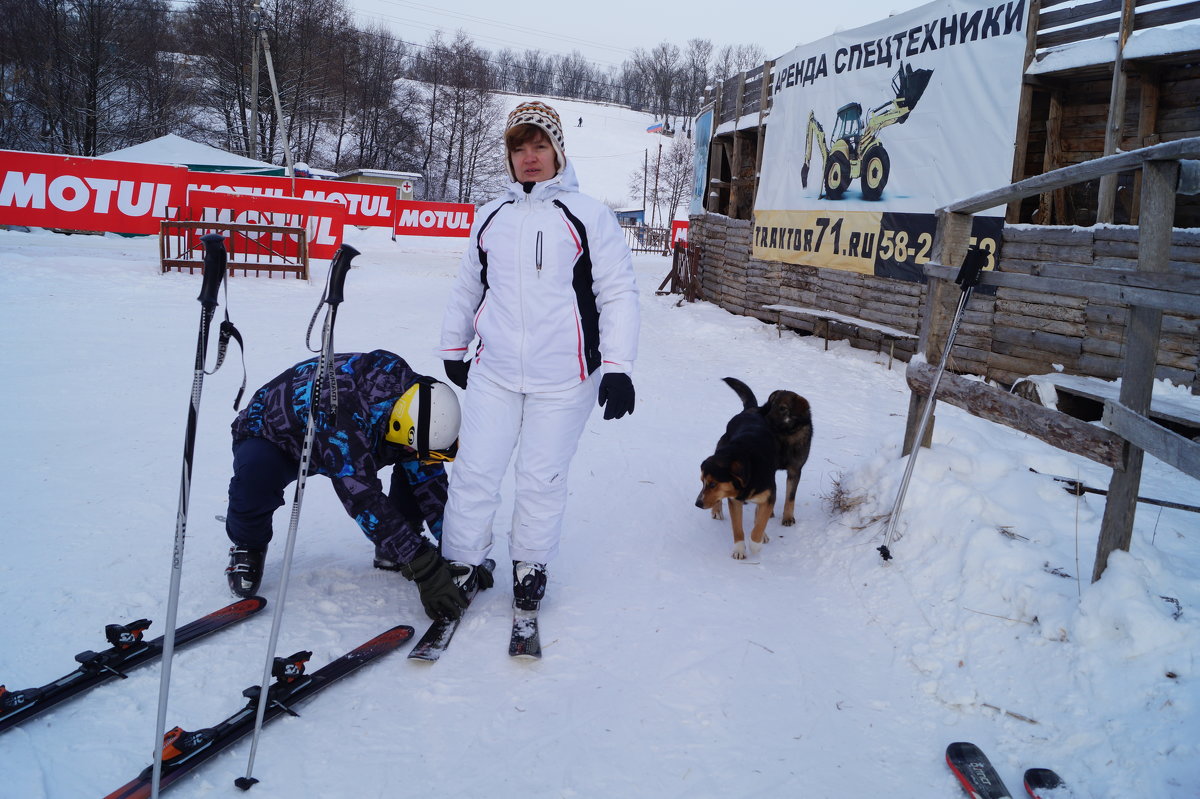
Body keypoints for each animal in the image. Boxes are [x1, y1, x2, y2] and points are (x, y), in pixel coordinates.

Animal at [696, 376, 816, 556]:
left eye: (713, 484)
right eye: (703, 482)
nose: (697, 503)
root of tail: (751, 410)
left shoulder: (791, 473)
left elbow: (765, 518)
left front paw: (756, 543)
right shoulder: (734, 500)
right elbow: (737, 527)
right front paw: (739, 549)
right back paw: (717, 510)